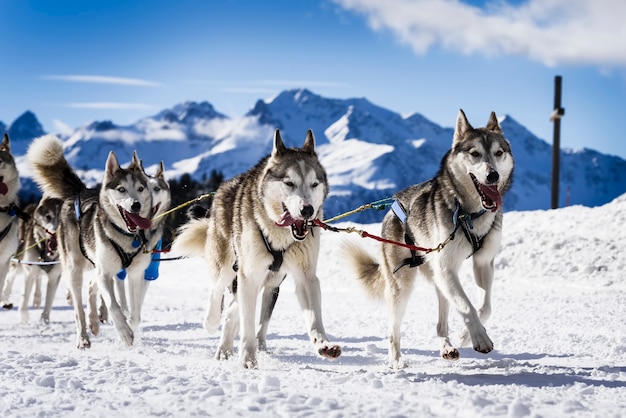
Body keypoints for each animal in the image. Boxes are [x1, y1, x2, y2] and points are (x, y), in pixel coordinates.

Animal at [2, 196, 63, 324]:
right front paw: (23, 317)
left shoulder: (55, 276)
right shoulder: (29, 272)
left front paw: (44, 320)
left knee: (38, 278)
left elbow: (49, 300)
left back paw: (37, 298)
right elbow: (25, 296)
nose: (55, 232)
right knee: (11, 275)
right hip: (19, 262)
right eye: (48, 216)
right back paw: (5, 295)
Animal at [26, 135, 154, 350]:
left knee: (91, 287)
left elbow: (135, 314)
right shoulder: (105, 273)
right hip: (75, 269)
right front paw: (124, 333)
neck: (125, 236)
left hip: (93, 263)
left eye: (140, 188)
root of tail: (80, 192)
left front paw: (132, 331)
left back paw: (95, 320)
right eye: (121, 189)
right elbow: (113, 304)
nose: (135, 205)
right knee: (79, 309)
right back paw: (83, 337)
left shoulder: (135, 273)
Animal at [172, 129, 342, 368]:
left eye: (314, 184)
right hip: (228, 266)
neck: (279, 234)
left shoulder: (305, 277)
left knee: (232, 309)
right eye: (289, 183)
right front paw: (248, 357)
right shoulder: (249, 275)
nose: (307, 210)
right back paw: (211, 323)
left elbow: (314, 318)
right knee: (217, 292)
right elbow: (248, 323)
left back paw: (224, 348)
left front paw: (323, 344)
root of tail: (223, 188)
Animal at [342, 109, 512, 368]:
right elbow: (467, 306)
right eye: (474, 153)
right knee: (393, 329)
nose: (492, 175)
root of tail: (392, 205)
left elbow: (484, 307)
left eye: (498, 153)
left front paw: (466, 335)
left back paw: (447, 346)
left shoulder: (483, 263)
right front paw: (480, 338)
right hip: (402, 284)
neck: (469, 213)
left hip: (438, 278)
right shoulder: (446, 267)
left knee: (441, 323)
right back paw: (396, 360)